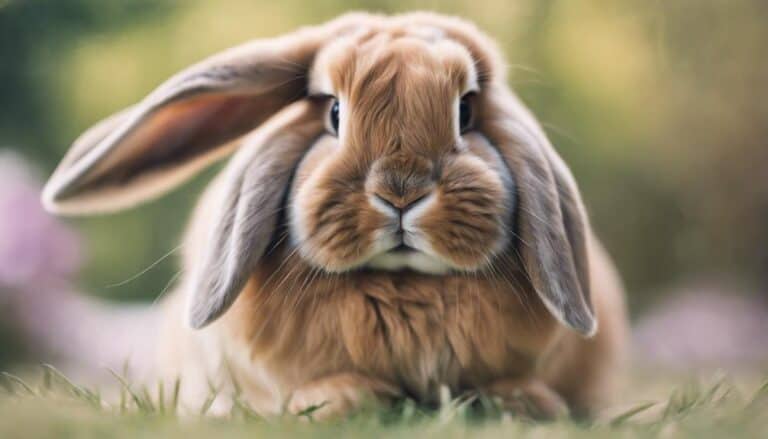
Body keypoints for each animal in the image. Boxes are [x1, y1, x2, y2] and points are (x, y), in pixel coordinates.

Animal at [41, 12, 628, 419]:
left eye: (466, 111)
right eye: (334, 113)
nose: (400, 191)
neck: (405, 287)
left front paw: (522, 402)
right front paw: (348, 396)